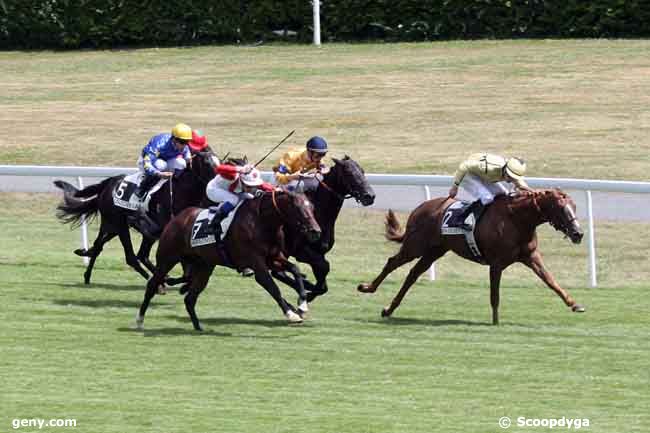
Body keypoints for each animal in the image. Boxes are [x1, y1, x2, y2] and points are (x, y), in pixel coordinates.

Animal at [53, 148, 215, 284]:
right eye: (207, 163)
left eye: (218, 160)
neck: (180, 192)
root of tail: (109, 183)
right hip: (119, 224)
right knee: (131, 256)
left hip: (114, 226)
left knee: (101, 245)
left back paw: (86, 267)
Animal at [135, 190, 320, 330]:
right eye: (298, 208)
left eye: (312, 207)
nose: (315, 231)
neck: (262, 221)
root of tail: (176, 218)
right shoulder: (256, 263)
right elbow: (272, 287)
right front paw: (292, 314)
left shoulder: (273, 258)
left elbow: (295, 269)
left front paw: (302, 304)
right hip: (167, 259)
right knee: (152, 285)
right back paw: (140, 320)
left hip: (204, 266)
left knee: (190, 298)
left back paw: (198, 326)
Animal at [270, 154, 374, 304]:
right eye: (349, 173)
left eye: (363, 171)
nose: (370, 196)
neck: (318, 212)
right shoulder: (302, 251)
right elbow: (325, 267)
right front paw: (308, 294)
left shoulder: (320, 252)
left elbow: (322, 275)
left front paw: (310, 291)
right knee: (277, 271)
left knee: (277, 272)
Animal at [356, 189, 584, 324]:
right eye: (561, 209)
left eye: (575, 207)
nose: (578, 233)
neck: (517, 219)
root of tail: (419, 208)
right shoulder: (496, 264)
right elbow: (494, 295)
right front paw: (495, 321)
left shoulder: (531, 257)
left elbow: (552, 282)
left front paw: (574, 304)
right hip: (415, 246)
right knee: (392, 263)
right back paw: (368, 288)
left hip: (434, 251)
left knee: (413, 274)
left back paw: (389, 309)